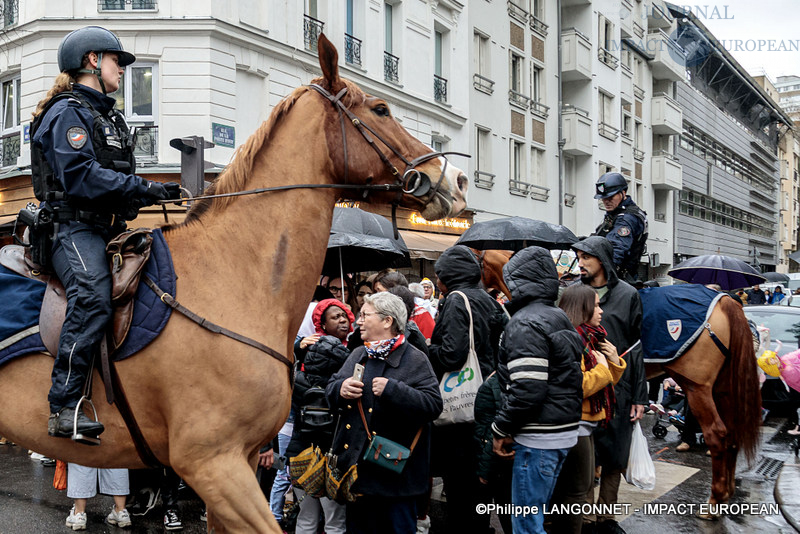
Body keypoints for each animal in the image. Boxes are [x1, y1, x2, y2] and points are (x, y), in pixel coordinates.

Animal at [478, 253, 760, 512]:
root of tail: (725, 300)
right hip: (723, 388)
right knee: (732, 432)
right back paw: (728, 492)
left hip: (696, 387)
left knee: (717, 434)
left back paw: (715, 500)